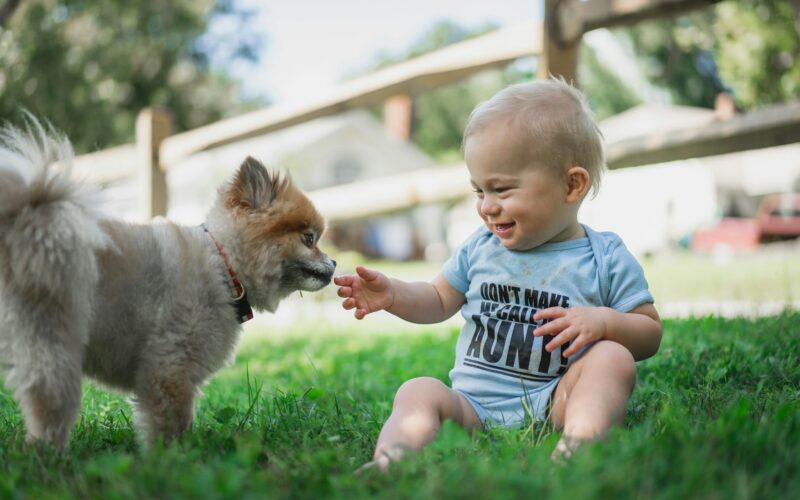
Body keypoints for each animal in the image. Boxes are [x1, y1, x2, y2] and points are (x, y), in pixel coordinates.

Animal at [0, 118, 336, 450]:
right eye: (309, 239)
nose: (334, 263)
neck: (223, 265)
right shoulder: (170, 366)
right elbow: (172, 422)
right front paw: (173, 458)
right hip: (53, 341)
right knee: (51, 404)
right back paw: (49, 452)